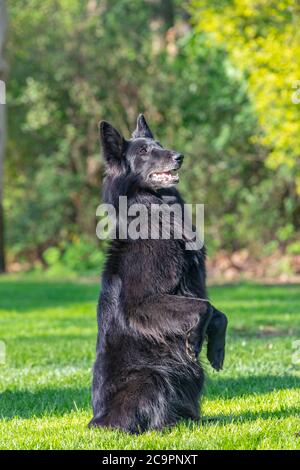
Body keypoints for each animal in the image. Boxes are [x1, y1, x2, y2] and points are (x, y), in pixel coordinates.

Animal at [89, 114, 227, 434]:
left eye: (160, 144)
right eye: (143, 152)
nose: (179, 156)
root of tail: (100, 419)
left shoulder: (195, 285)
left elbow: (218, 313)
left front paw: (215, 351)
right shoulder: (141, 304)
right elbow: (203, 308)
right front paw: (194, 341)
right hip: (153, 376)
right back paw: (167, 426)